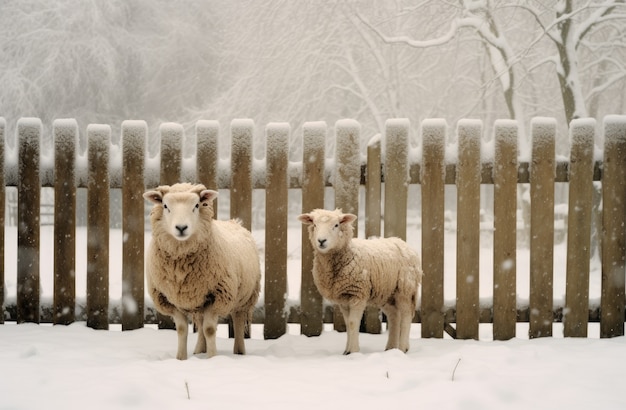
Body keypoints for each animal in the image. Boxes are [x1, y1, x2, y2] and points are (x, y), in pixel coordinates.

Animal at [143, 183, 260, 358]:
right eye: (165, 206)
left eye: (196, 205)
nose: (181, 227)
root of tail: (235, 222)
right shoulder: (171, 300)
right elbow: (182, 329)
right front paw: (181, 358)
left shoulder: (218, 296)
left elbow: (209, 329)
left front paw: (212, 357)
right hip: (198, 302)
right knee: (200, 324)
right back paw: (199, 349)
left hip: (245, 298)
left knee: (238, 322)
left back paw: (239, 352)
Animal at [296, 210, 420, 354]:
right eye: (314, 225)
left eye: (336, 225)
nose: (321, 241)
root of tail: (402, 242)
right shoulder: (343, 298)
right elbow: (347, 324)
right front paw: (346, 351)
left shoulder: (357, 293)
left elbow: (353, 322)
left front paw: (354, 351)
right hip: (386, 293)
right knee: (394, 315)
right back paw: (391, 348)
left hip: (405, 289)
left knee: (406, 316)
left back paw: (402, 348)